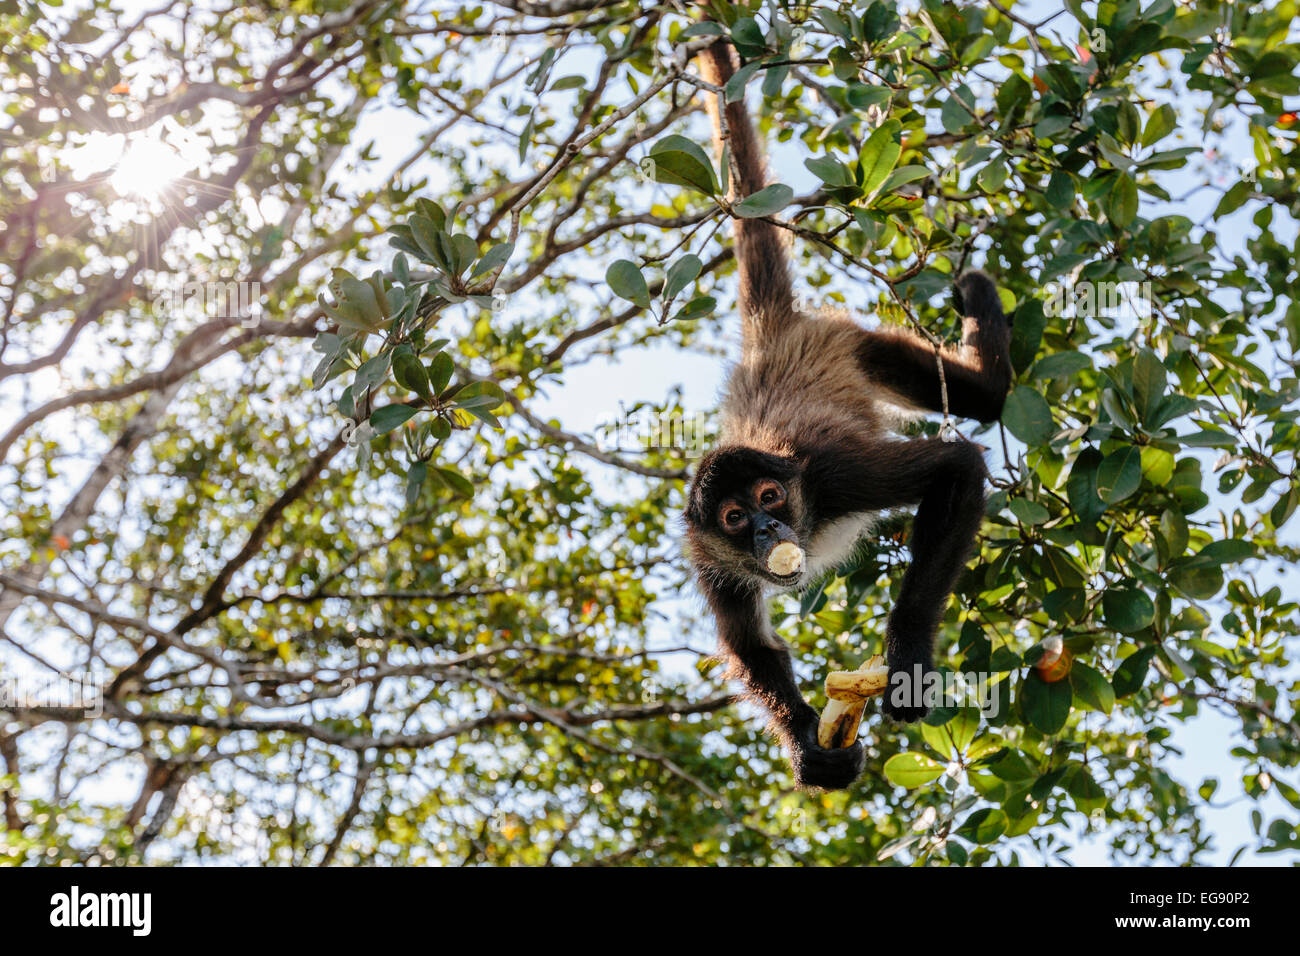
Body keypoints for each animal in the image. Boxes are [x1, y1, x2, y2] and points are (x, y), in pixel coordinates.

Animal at [682, 38, 1013, 791]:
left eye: (771, 497)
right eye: (737, 518)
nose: (769, 526)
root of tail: (773, 339)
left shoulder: (832, 476)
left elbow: (957, 466)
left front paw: (908, 659)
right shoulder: (708, 556)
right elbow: (753, 647)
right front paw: (812, 748)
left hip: (855, 342)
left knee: (985, 400)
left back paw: (978, 292)